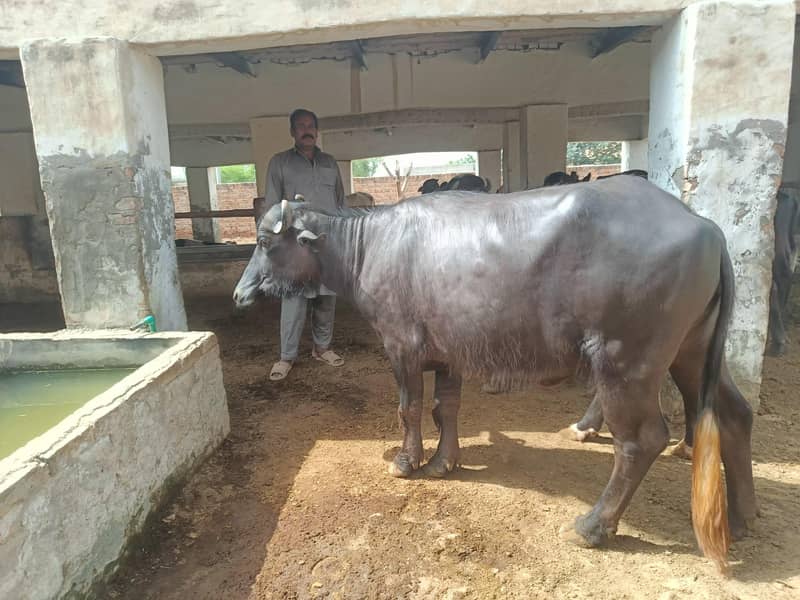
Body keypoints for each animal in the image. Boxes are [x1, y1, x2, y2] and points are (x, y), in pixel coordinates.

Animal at [233, 176, 756, 571]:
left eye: (263, 241)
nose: (240, 294)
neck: (371, 246)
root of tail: (703, 224)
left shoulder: (402, 347)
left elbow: (409, 408)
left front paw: (406, 461)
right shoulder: (448, 354)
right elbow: (446, 408)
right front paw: (444, 462)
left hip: (625, 360)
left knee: (642, 441)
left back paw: (593, 526)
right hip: (692, 350)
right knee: (735, 414)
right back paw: (742, 514)